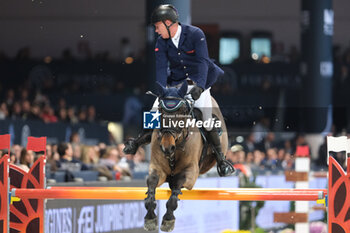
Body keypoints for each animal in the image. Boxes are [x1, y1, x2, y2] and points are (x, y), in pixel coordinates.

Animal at [144, 81, 228, 231]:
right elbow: (152, 182)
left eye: (182, 112)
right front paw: (150, 216)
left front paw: (168, 219)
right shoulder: (157, 168)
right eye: (160, 111)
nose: (167, 147)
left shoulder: (191, 172)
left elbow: (177, 186)